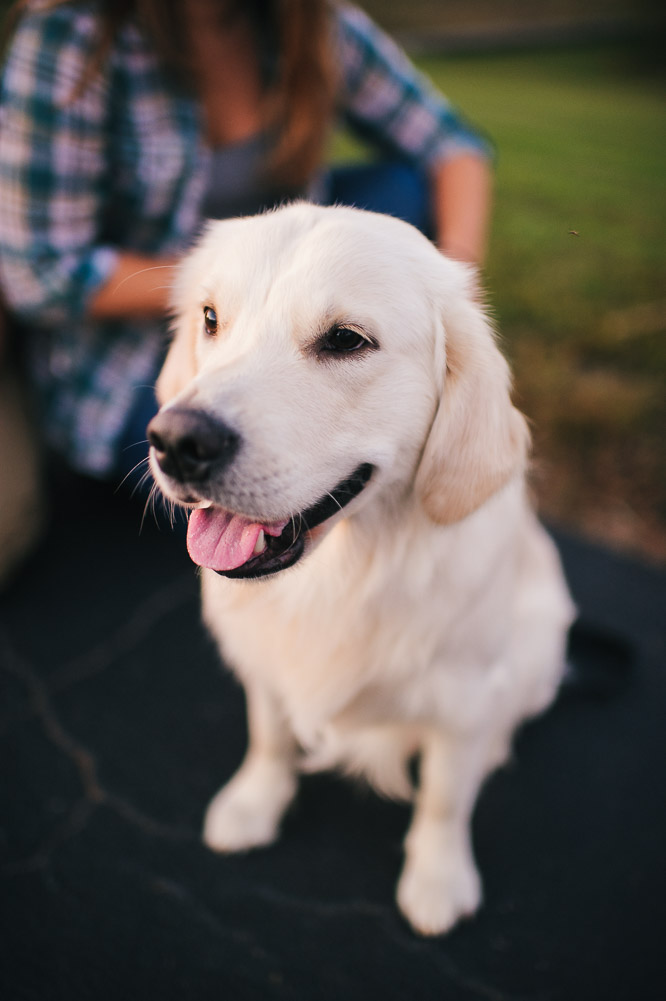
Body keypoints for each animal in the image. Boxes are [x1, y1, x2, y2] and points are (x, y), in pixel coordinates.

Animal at [148, 203, 572, 936]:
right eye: (210, 317)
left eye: (346, 340)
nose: (176, 440)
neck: (341, 572)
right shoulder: (264, 660)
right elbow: (269, 736)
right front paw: (254, 803)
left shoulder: (467, 695)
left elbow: (445, 795)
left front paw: (438, 878)